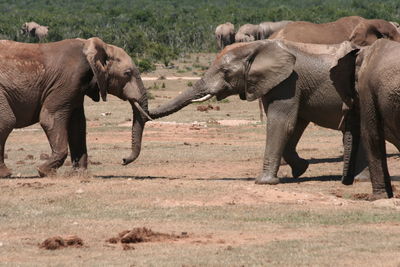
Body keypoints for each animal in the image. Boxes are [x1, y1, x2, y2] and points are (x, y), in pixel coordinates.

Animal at [0, 36, 151, 178]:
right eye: (127, 73)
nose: (123, 160)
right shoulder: (68, 80)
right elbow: (49, 118)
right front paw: (44, 171)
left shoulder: (76, 88)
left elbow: (77, 125)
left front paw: (78, 173)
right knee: (7, 122)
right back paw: (6, 174)